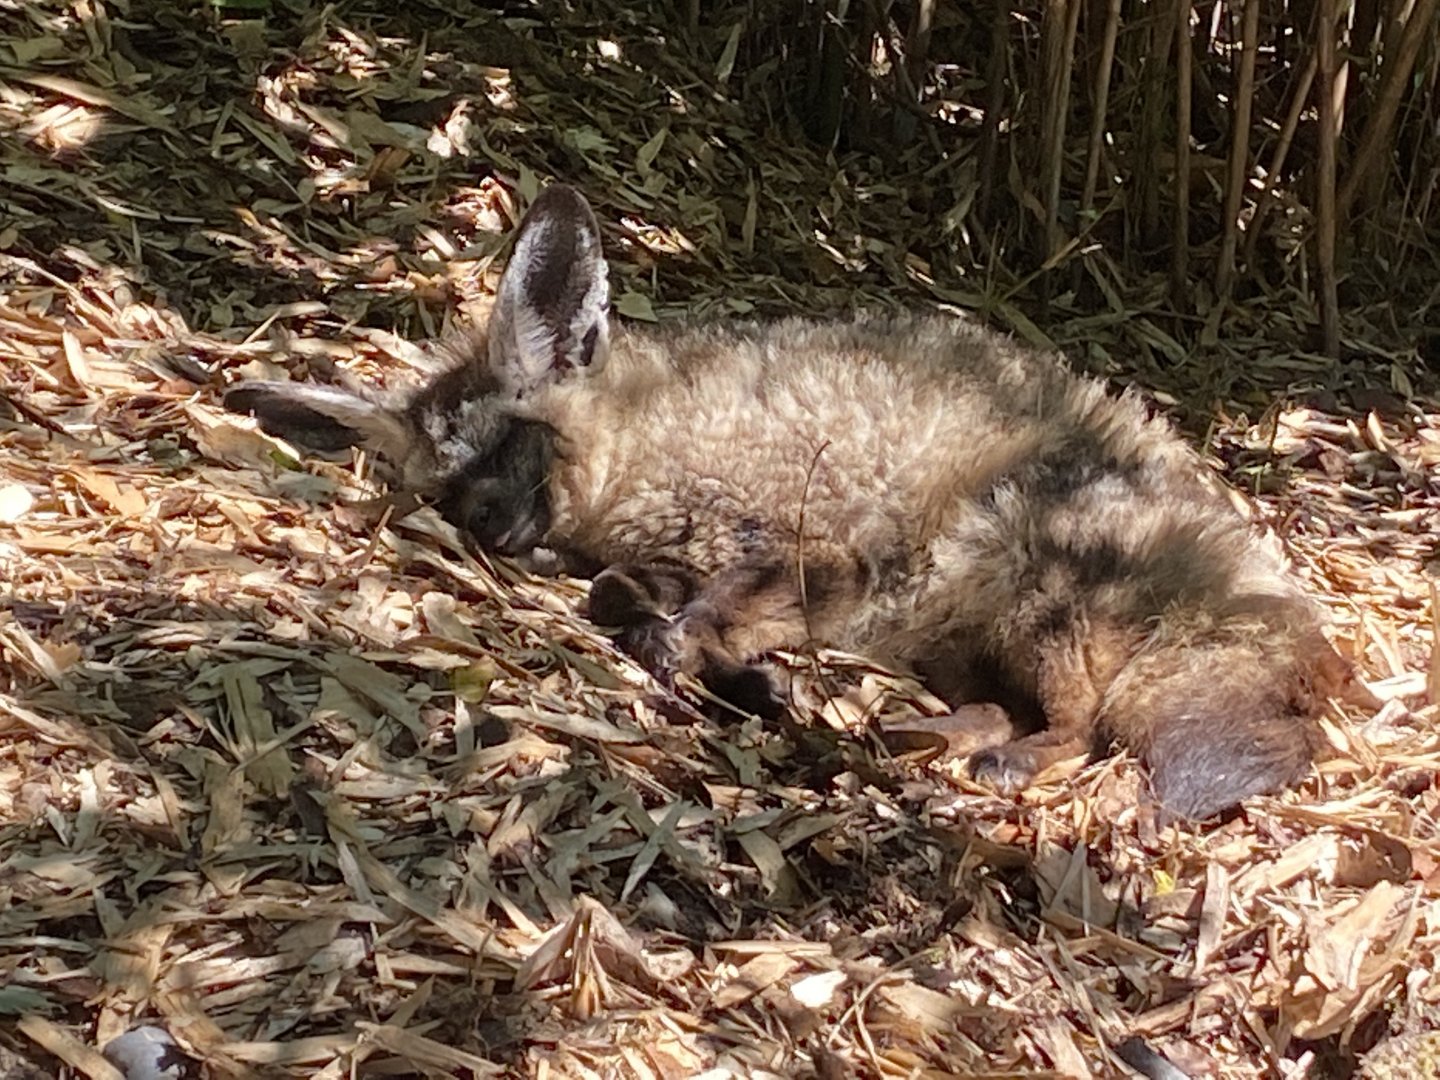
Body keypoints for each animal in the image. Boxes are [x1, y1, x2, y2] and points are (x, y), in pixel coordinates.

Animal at [223, 183, 1349, 821]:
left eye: (509, 442)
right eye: (449, 486)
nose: (491, 530)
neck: (650, 444)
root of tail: (1256, 586)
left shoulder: (823, 557)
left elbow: (679, 622)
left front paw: (725, 670)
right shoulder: (727, 565)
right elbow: (632, 604)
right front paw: (746, 678)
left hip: (1029, 576)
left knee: (1085, 725)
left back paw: (998, 757)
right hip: (962, 631)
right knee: (1005, 707)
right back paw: (911, 732)